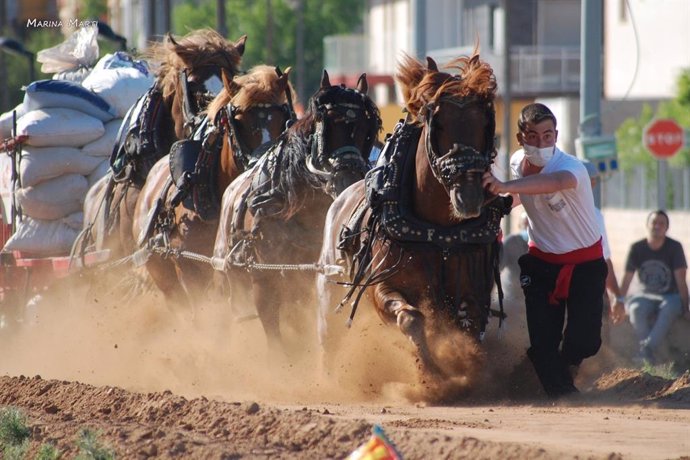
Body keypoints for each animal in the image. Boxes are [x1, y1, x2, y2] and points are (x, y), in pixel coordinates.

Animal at [314, 53, 508, 384]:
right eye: (437, 122)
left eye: (486, 123)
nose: (468, 197)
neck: (440, 233)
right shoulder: (381, 287)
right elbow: (411, 318)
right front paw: (432, 373)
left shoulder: (474, 292)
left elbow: (468, 328)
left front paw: (463, 367)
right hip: (329, 296)